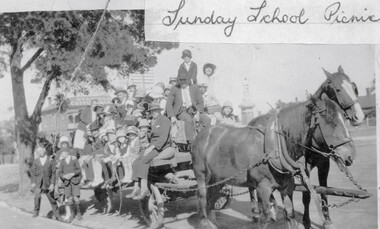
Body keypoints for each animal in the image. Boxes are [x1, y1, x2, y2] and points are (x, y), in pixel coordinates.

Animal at [193, 97, 356, 229]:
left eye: (344, 119)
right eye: (331, 122)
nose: (350, 155)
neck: (276, 144)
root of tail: (202, 134)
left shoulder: (287, 188)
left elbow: (290, 214)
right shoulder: (263, 188)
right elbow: (265, 217)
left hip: (218, 179)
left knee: (211, 199)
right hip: (201, 175)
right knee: (202, 198)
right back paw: (204, 222)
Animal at [249, 65, 366, 228]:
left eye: (354, 88)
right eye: (338, 89)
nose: (359, 116)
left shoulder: (324, 165)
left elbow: (323, 190)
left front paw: (327, 220)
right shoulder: (304, 168)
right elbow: (306, 194)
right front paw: (306, 221)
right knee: (252, 187)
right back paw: (255, 212)